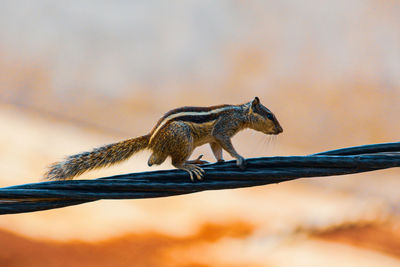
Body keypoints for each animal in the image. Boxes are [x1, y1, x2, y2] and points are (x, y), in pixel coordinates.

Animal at [45, 97, 282, 183]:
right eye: (270, 115)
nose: (280, 130)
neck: (240, 113)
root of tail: (151, 139)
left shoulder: (217, 137)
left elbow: (217, 149)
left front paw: (221, 161)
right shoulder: (223, 129)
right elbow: (225, 143)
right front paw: (239, 157)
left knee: (154, 161)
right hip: (183, 137)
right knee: (173, 162)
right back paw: (189, 165)